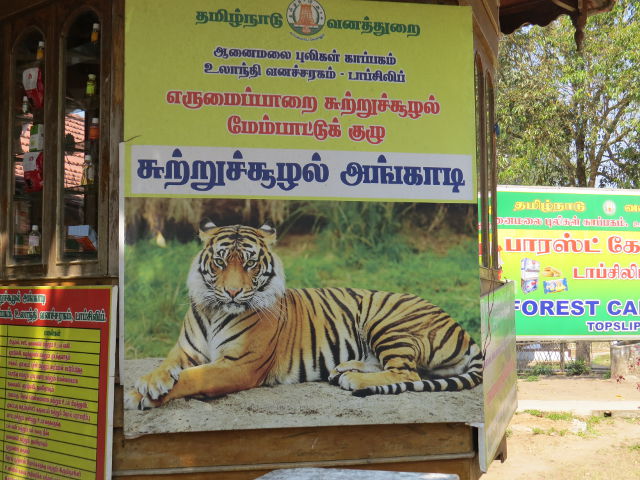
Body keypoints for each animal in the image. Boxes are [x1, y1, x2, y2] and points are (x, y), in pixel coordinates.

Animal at [124, 221, 483, 410]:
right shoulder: (184, 351)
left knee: (407, 372)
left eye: (250, 263)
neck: (215, 311)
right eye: (221, 262)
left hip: (386, 320)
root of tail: (462, 330)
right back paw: (344, 369)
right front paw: (148, 383)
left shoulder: (239, 364)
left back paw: (353, 379)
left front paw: (142, 396)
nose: (233, 293)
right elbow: (166, 366)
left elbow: (192, 377)